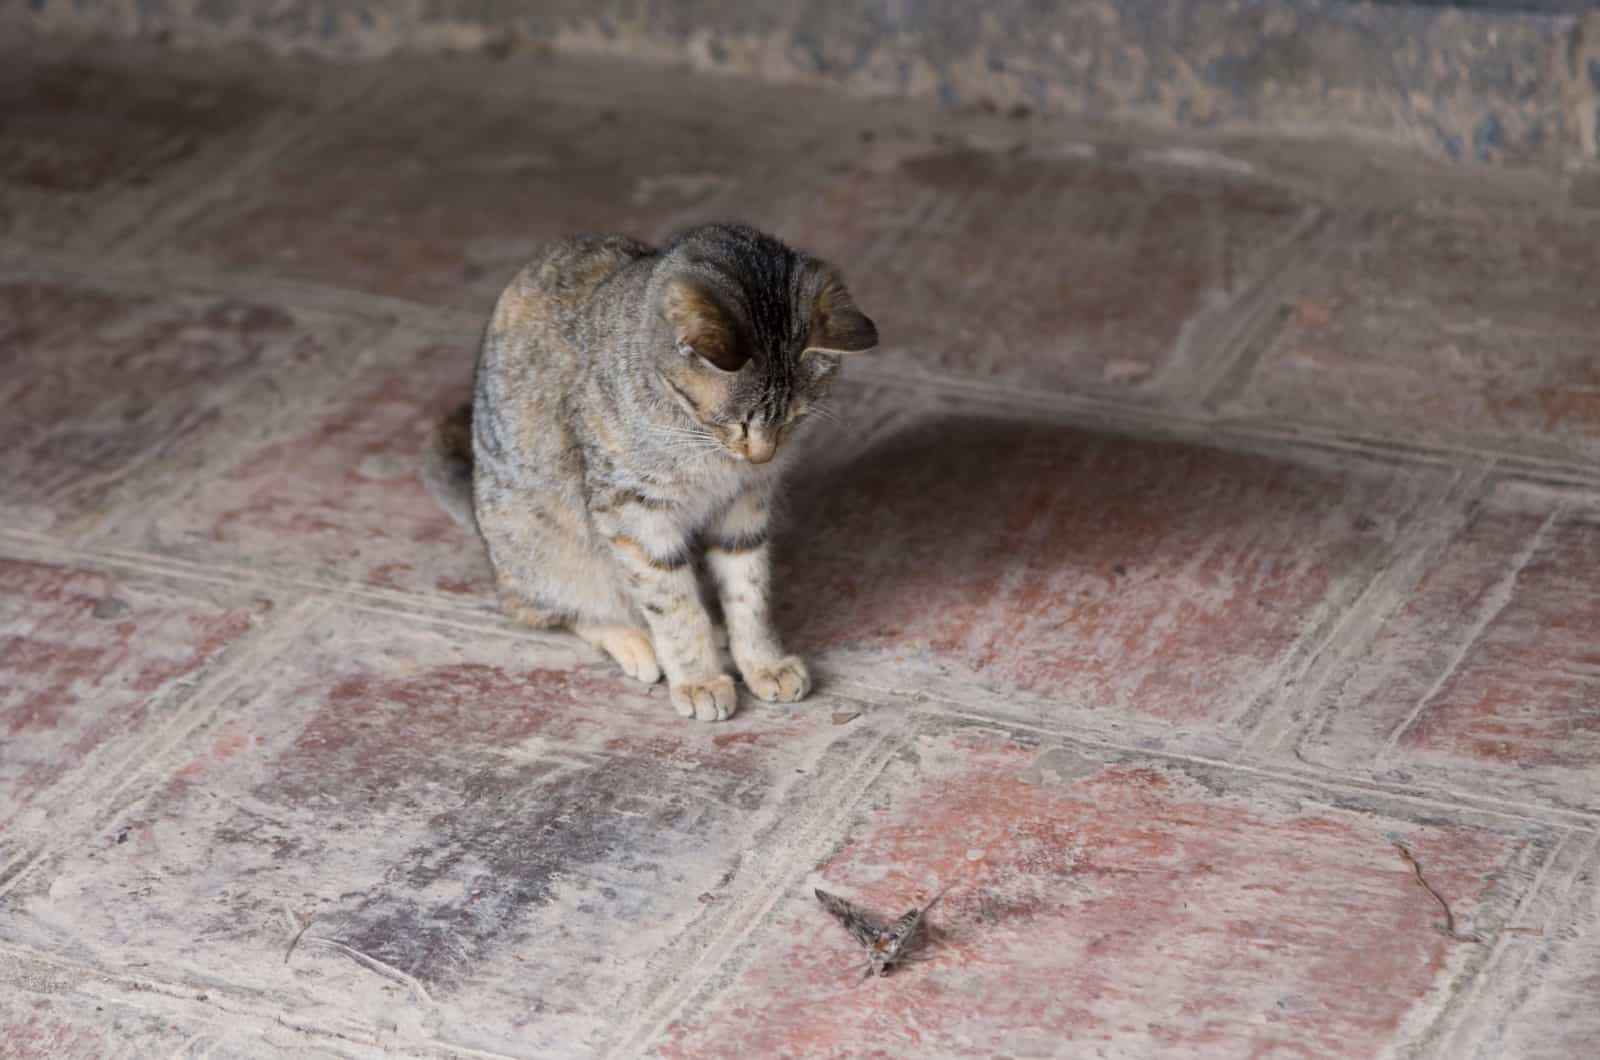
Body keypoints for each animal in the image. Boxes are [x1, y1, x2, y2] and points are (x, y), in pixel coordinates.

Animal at [422, 222, 876, 723]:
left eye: (793, 420)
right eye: (734, 422)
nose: (761, 456)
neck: (709, 454)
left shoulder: (746, 503)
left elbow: (748, 589)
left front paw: (763, 661)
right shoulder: (635, 512)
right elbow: (672, 602)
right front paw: (697, 678)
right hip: (540, 546)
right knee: (545, 608)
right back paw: (634, 639)